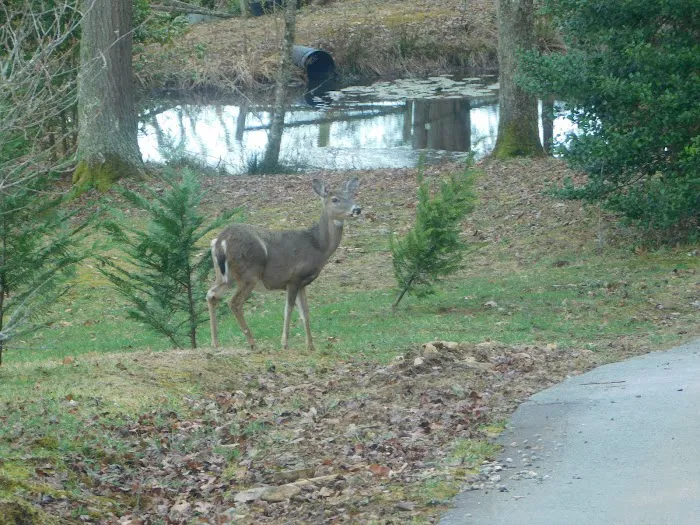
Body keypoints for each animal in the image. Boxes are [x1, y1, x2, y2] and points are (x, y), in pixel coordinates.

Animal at [207, 177, 361, 351]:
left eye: (351, 195)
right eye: (335, 199)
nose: (357, 209)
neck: (318, 246)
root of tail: (220, 240)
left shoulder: (302, 283)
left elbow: (305, 312)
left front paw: (311, 346)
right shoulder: (293, 278)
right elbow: (289, 310)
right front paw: (285, 343)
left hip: (226, 277)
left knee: (211, 295)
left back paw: (215, 342)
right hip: (249, 274)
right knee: (234, 302)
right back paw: (252, 343)